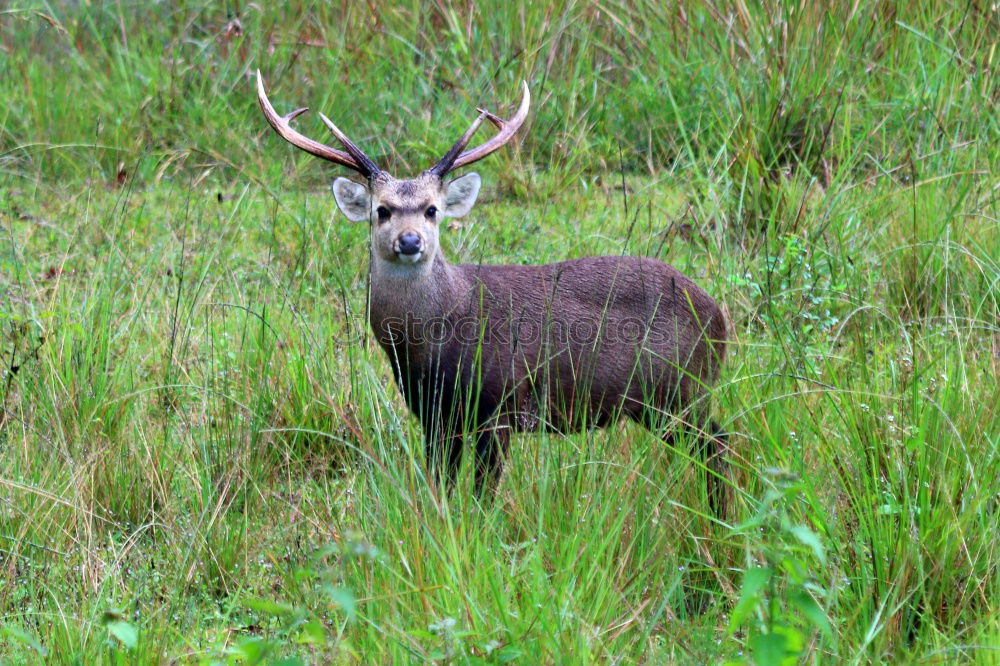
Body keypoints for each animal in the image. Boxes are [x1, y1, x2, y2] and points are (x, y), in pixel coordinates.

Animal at [254, 71, 732, 512]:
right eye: (381, 210)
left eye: (432, 210)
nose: (409, 241)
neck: (437, 337)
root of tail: (721, 320)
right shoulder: (434, 416)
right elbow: (441, 488)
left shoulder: (501, 405)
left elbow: (484, 495)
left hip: (678, 390)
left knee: (720, 442)